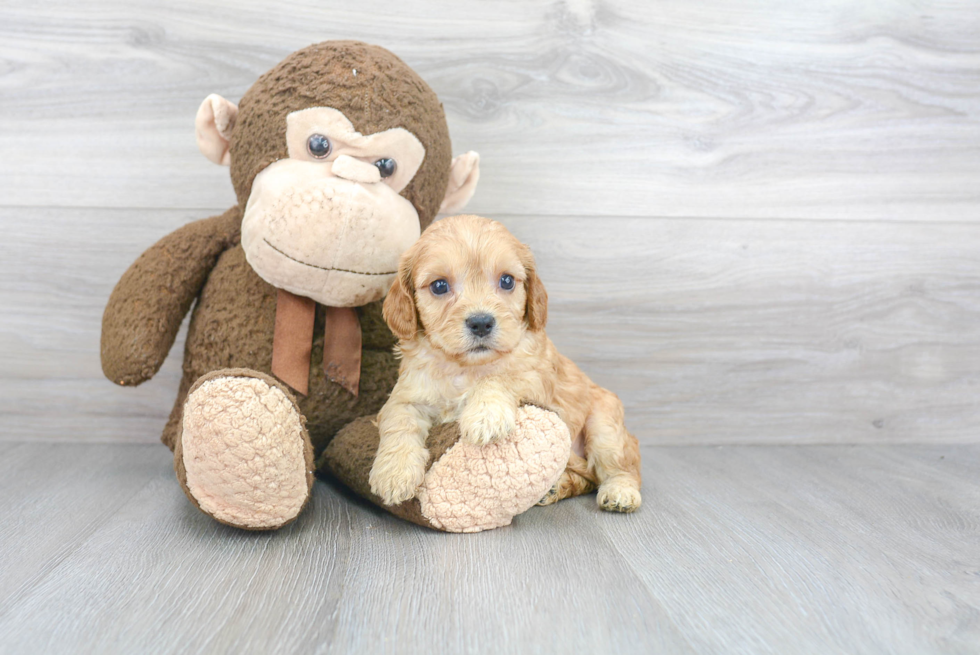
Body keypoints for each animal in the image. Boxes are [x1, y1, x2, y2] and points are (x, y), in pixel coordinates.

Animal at [368, 215, 644, 512]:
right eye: (439, 286)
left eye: (507, 281)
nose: (481, 322)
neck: (465, 367)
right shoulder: (406, 395)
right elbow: (399, 422)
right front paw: (394, 474)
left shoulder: (536, 379)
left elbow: (500, 377)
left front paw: (485, 415)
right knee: (586, 478)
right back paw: (555, 487)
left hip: (605, 427)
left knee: (619, 467)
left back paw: (620, 492)